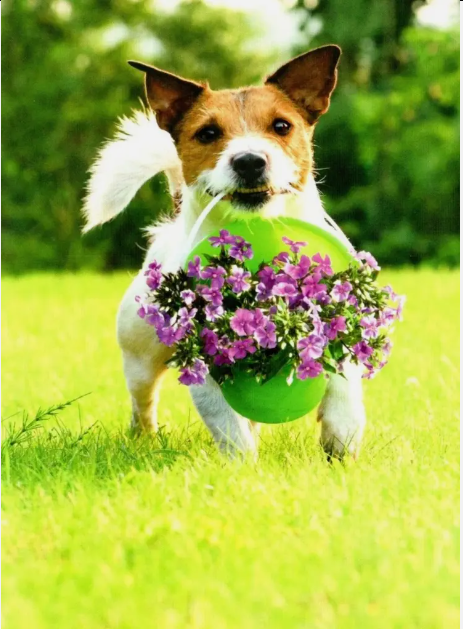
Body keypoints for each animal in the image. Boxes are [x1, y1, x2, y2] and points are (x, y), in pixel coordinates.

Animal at [83, 44, 366, 456]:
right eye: (208, 133)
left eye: (282, 126)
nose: (249, 160)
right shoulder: (203, 363)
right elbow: (227, 424)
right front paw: (243, 466)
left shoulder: (334, 320)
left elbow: (344, 378)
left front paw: (342, 435)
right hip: (139, 355)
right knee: (143, 400)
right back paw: (144, 438)